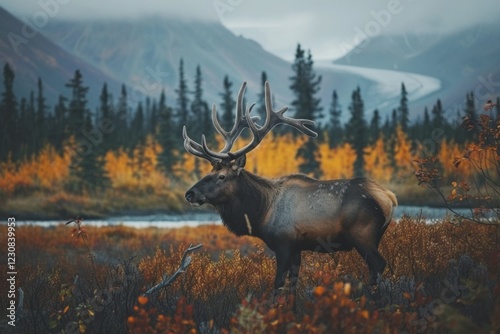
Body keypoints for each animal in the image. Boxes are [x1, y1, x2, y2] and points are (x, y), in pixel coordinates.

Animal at [184, 81, 398, 294]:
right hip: (375, 236)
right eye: (208, 172)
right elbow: (293, 285)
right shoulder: (296, 248)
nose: (190, 193)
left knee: (378, 265)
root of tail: (389, 197)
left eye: (221, 176)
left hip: (363, 235)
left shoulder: (284, 243)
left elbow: (278, 283)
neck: (260, 212)